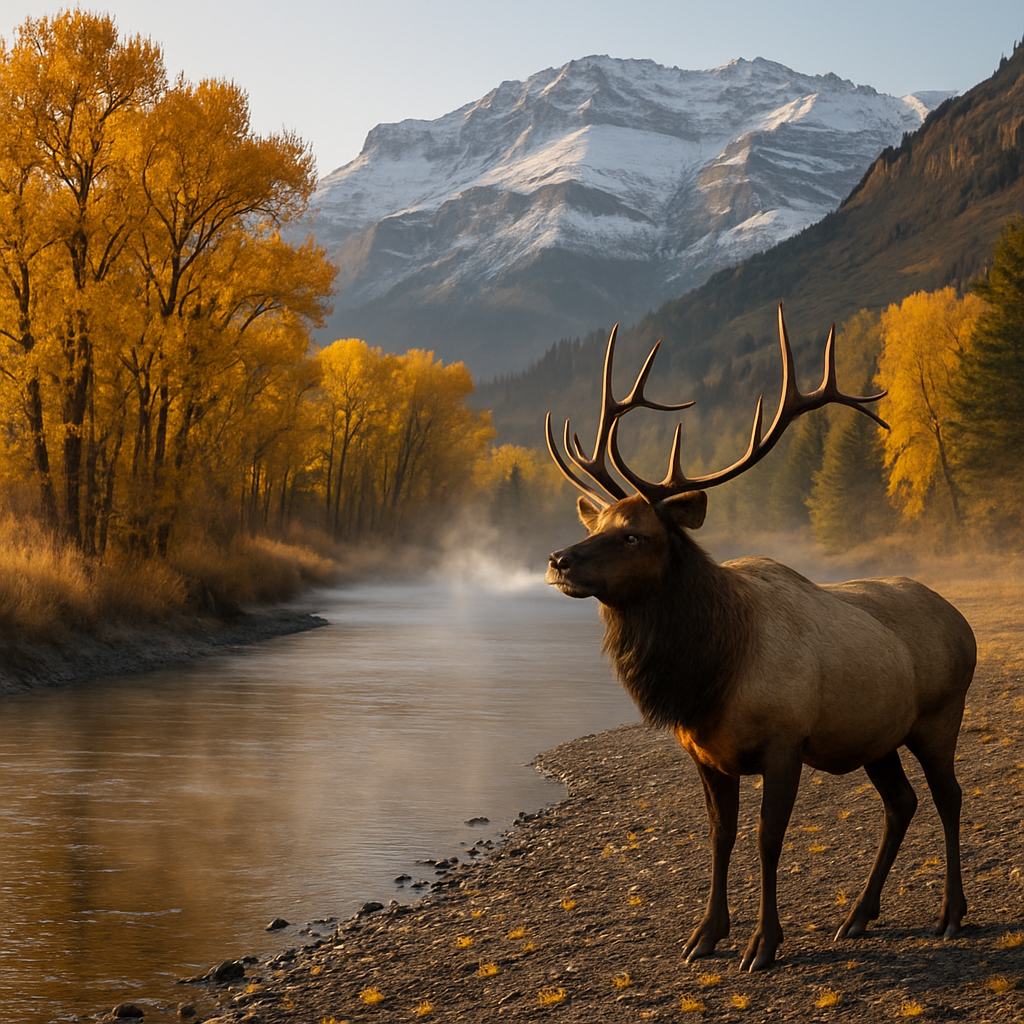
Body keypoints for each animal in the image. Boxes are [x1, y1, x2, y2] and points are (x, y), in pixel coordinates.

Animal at [544, 305, 977, 972]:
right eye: (599, 525)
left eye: (635, 535)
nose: (558, 560)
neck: (710, 673)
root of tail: (963, 622)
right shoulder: (703, 751)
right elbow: (720, 836)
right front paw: (705, 934)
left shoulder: (783, 740)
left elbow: (767, 838)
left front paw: (764, 943)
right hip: (878, 733)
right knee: (900, 802)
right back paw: (857, 916)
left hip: (938, 716)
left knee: (949, 796)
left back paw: (952, 914)